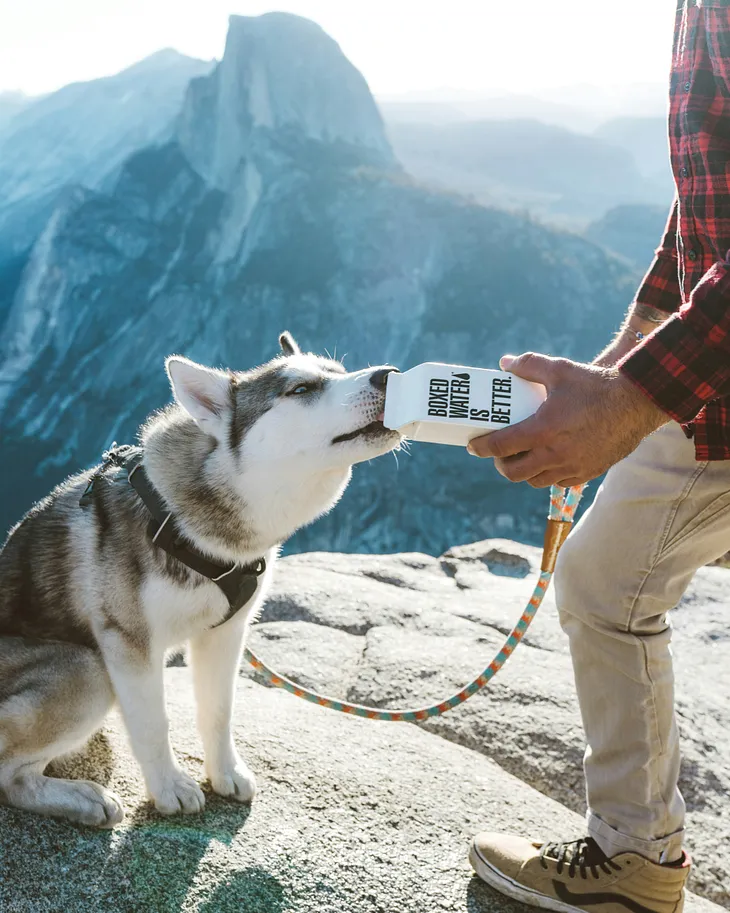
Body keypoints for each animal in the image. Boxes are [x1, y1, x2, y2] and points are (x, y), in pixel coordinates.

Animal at [0, 334, 398, 828]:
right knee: (10, 777)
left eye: (338, 371)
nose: (389, 375)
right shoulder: (128, 644)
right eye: (301, 389)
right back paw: (81, 798)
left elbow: (218, 710)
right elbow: (153, 723)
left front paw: (224, 772)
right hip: (89, 670)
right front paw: (168, 787)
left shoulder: (226, 632)